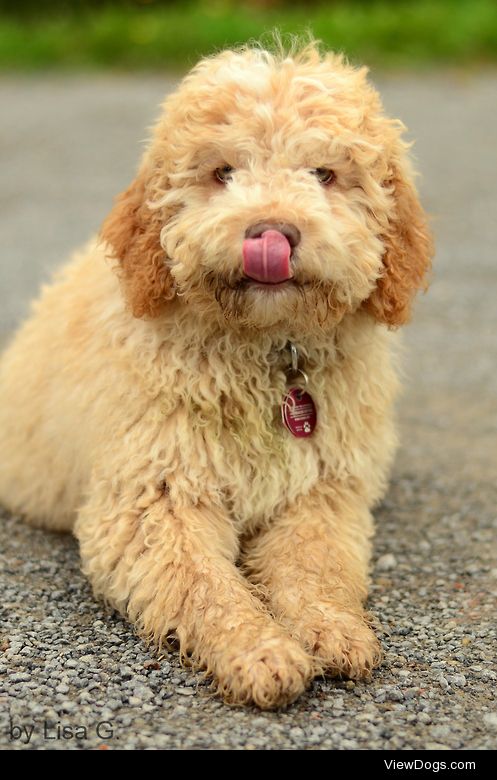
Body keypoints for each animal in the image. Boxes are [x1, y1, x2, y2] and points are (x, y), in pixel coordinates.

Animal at [0, 44, 430, 712]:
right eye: (223, 172)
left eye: (324, 174)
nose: (271, 234)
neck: (265, 356)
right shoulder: (153, 497)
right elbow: (203, 584)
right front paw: (260, 651)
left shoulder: (322, 492)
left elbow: (318, 565)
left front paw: (332, 628)